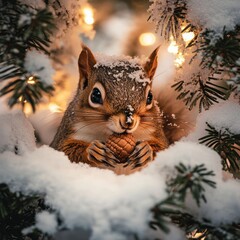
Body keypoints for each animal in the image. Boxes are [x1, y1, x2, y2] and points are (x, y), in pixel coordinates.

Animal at [50, 45, 191, 174]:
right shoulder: (65, 136)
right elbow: (66, 151)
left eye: (150, 97)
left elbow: (162, 149)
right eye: (95, 95)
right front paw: (93, 150)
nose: (128, 122)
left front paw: (146, 150)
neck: (106, 133)